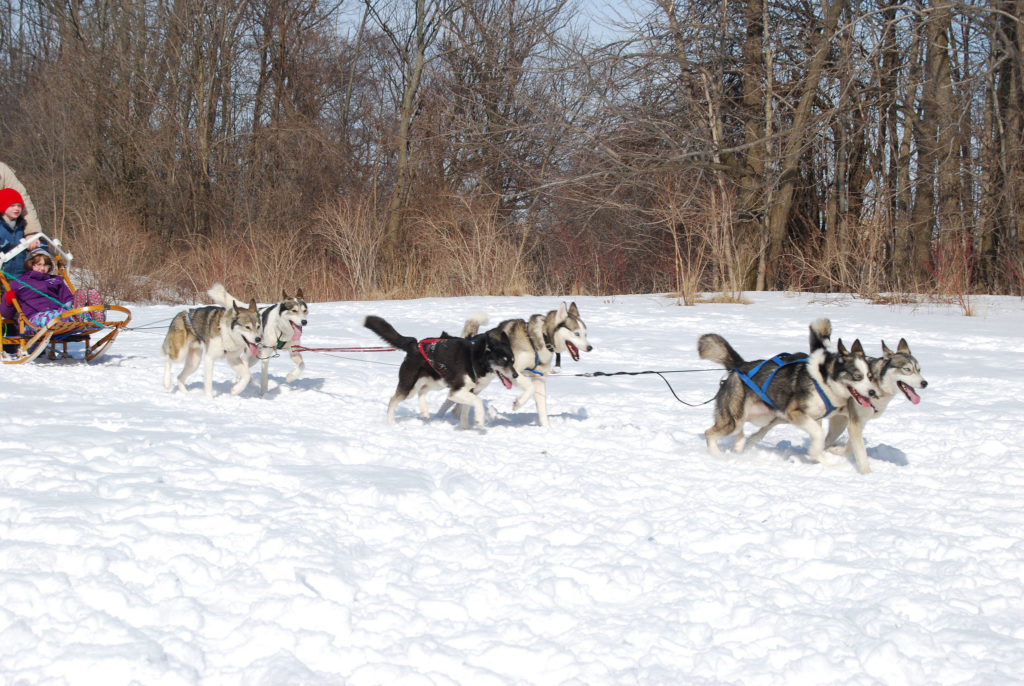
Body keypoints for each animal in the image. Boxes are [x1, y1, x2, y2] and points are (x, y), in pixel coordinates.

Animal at [362, 317, 520, 430]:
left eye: (512, 361)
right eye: (503, 361)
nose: (516, 375)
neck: (474, 359)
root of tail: (414, 344)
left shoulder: (469, 391)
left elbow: (465, 410)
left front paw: (466, 429)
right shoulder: (456, 392)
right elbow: (478, 402)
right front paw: (479, 421)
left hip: (437, 382)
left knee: (422, 391)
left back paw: (424, 411)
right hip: (409, 386)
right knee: (393, 400)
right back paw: (391, 422)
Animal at [444, 303, 598, 427]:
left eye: (585, 334)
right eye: (577, 334)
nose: (590, 347)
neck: (540, 338)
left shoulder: (539, 378)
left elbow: (542, 406)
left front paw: (547, 428)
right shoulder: (513, 370)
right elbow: (529, 388)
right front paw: (518, 403)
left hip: (477, 386)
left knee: (456, 404)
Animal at [700, 321, 876, 466]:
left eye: (870, 376)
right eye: (857, 376)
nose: (872, 392)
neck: (824, 380)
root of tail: (740, 366)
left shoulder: (820, 417)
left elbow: (821, 436)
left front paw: (819, 456)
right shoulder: (795, 413)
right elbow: (819, 434)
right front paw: (817, 455)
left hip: (762, 416)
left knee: (742, 432)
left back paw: (739, 445)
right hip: (734, 420)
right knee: (710, 433)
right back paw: (717, 455)